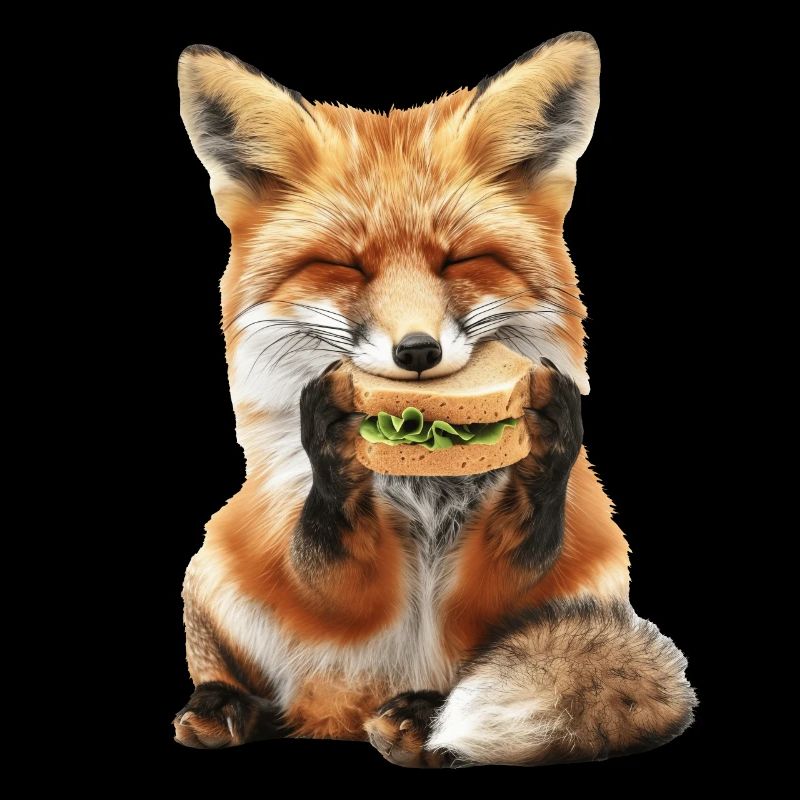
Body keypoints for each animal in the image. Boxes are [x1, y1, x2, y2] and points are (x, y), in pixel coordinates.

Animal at [173, 32, 696, 767]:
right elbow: (329, 569)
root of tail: (336, 717)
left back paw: (420, 721)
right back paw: (226, 705)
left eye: (459, 260)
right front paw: (329, 433)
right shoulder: (307, 555)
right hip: (215, 567)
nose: (416, 351)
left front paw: (553, 431)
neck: (425, 493)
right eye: (346, 266)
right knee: (241, 672)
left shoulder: (522, 586)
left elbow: (515, 561)